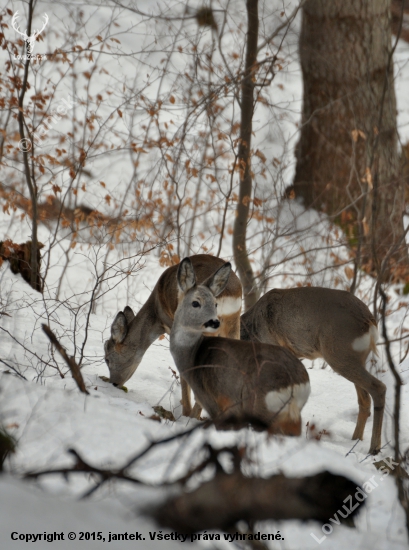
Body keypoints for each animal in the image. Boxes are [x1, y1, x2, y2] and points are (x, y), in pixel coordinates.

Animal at [169, 258, 310, 436]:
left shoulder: (214, 400)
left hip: (259, 406)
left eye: (215, 304)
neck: (193, 355)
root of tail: (297, 384)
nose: (214, 322)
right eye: (195, 303)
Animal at [239, 288, 382, 458]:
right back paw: (355, 441)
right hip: (354, 357)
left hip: (339, 353)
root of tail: (370, 320)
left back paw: (374, 448)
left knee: (378, 387)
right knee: (364, 399)